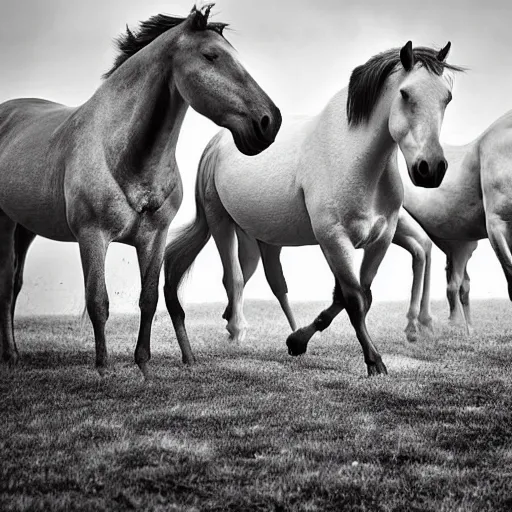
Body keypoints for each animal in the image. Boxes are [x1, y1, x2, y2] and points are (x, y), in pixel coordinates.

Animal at [0, 2, 282, 374]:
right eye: (211, 55)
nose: (270, 121)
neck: (123, 155)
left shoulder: (154, 238)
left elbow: (148, 299)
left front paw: (144, 366)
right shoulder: (92, 237)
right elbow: (98, 301)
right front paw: (103, 368)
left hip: (24, 227)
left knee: (15, 283)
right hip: (3, 223)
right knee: (6, 285)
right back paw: (11, 355)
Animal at [164, 42, 460, 376]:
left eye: (447, 97)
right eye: (406, 94)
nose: (430, 169)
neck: (355, 160)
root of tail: (217, 142)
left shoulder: (379, 240)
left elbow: (356, 295)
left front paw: (297, 341)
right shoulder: (333, 239)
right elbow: (355, 299)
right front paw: (374, 361)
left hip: (258, 237)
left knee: (261, 277)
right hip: (220, 222)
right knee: (234, 278)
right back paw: (236, 330)